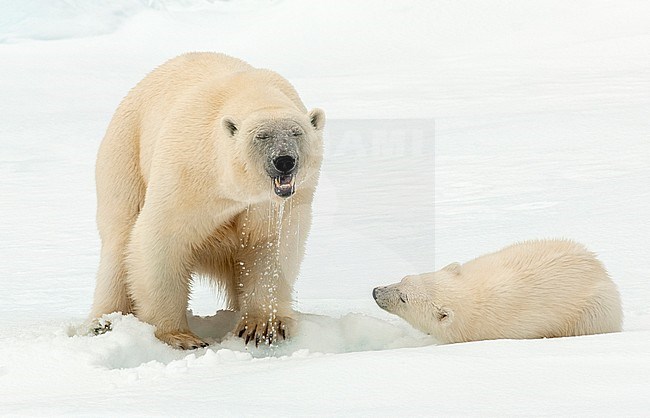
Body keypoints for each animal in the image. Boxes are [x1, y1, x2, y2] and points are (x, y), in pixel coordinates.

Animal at [91, 54, 324, 352]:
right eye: (261, 136)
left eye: (296, 133)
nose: (284, 161)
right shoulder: (188, 170)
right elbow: (161, 238)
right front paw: (180, 337)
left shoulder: (279, 204)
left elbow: (271, 244)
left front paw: (262, 327)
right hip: (125, 154)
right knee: (119, 240)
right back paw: (104, 322)